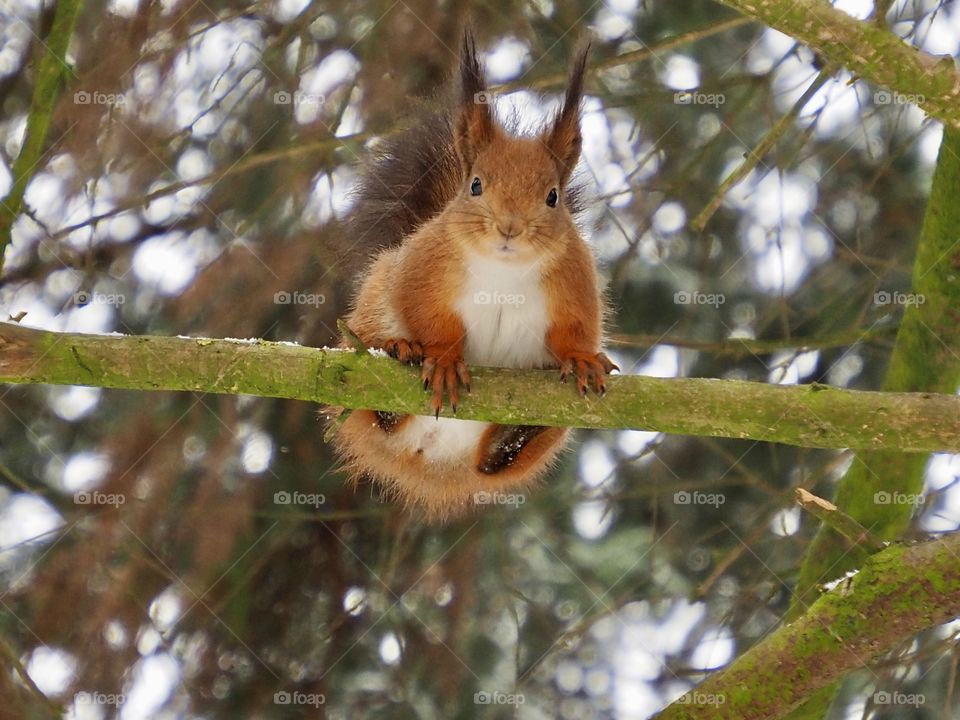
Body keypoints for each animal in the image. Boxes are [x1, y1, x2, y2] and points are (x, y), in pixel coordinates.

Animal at [333, 31, 617, 519]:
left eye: (553, 196)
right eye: (476, 185)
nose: (509, 227)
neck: (503, 270)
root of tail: (430, 458)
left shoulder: (575, 282)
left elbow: (576, 330)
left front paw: (580, 357)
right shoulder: (422, 268)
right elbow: (424, 310)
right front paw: (445, 357)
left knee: (496, 463)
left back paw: (516, 435)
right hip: (371, 309)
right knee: (376, 406)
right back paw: (397, 356)